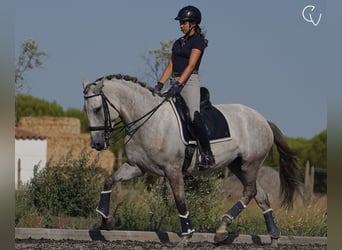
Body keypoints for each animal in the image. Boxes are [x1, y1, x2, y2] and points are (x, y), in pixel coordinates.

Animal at [82, 73, 300, 247]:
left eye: (97, 109)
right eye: (86, 110)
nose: (97, 144)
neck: (149, 121)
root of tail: (263, 120)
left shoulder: (173, 170)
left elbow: (180, 201)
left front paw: (187, 236)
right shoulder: (136, 167)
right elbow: (109, 180)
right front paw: (106, 220)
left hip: (250, 164)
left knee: (250, 192)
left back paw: (222, 229)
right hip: (237, 166)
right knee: (261, 195)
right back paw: (274, 238)